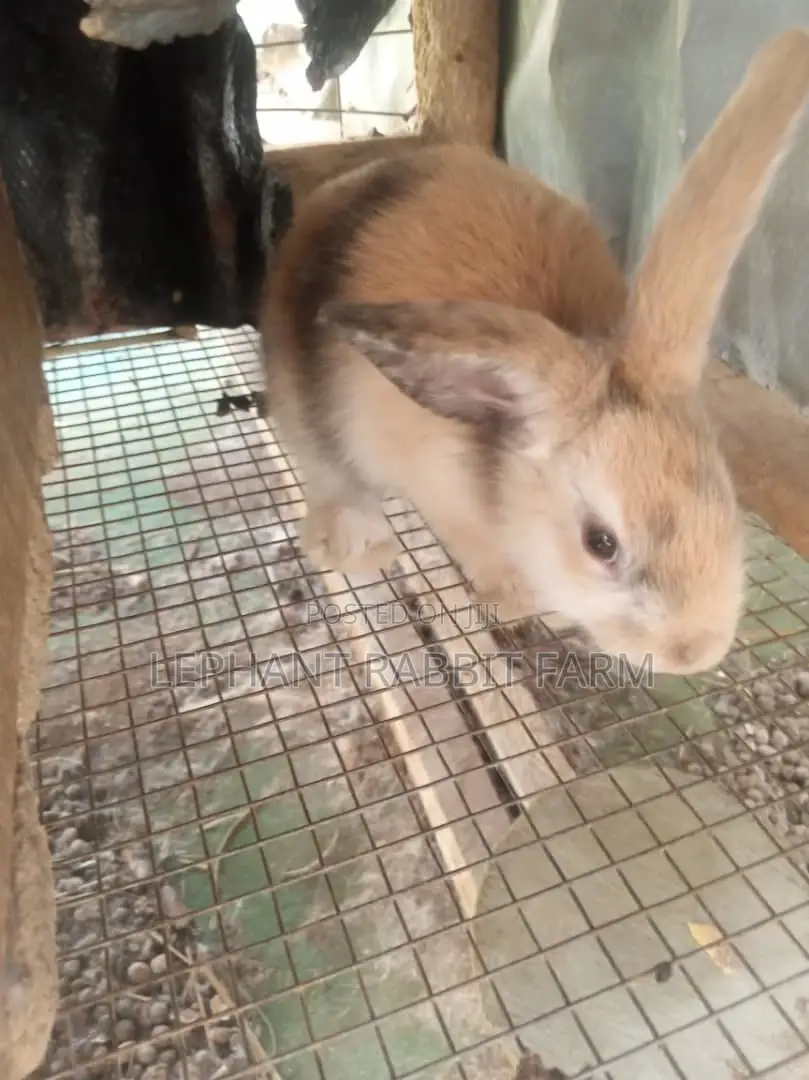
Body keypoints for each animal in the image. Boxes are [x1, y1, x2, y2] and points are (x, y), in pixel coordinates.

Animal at [259, 28, 809, 676]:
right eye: (601, 544)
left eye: (726, 500)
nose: (693, 653)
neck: (501, 480)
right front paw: (515, 603)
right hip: (304, 409)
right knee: (329, 476)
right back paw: (358, 546)